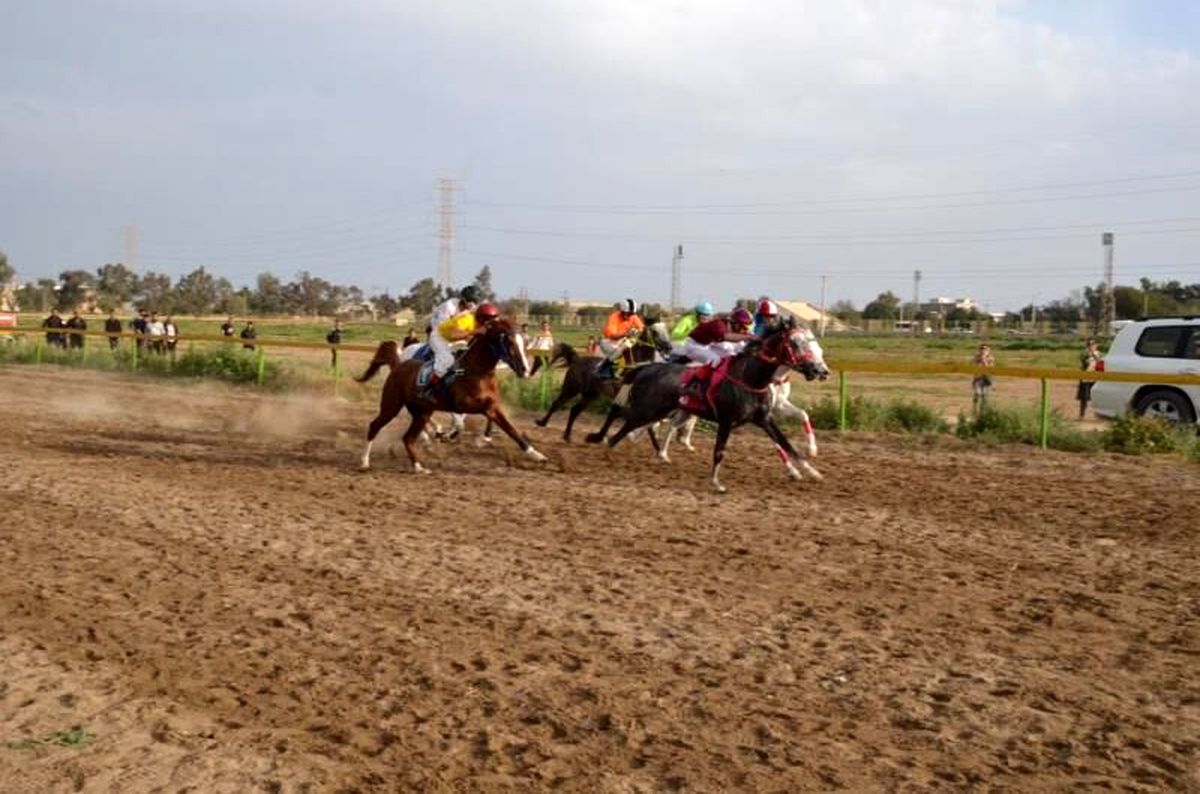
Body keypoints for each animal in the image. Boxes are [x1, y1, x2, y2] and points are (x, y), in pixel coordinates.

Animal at [352, 321, 547, 474]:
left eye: (525, 342)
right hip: (391, 405)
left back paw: (419, 466)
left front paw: (536, 454)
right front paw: (452, 434)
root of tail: (399, 364)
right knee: (375, 426)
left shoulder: (492, 405)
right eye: (509, 341)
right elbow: (463, 421)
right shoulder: (464, 405)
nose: (525, 370)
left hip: (422, 412)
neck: (476, 370)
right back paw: (364, 462)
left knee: (408, 438)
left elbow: (510, 429)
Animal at [585, 328, 830, 491]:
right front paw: (716, 482)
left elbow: (786, 444)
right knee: (623, 419)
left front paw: (811, 471)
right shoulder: (726, 420)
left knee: (642, 424)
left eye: (815, 346)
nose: (820, 371)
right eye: (796, 344)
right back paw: (606, 444)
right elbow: (719, 450)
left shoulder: (764, 418)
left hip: (661, 410)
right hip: (647, 409)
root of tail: (645, 369)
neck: (752, 377)